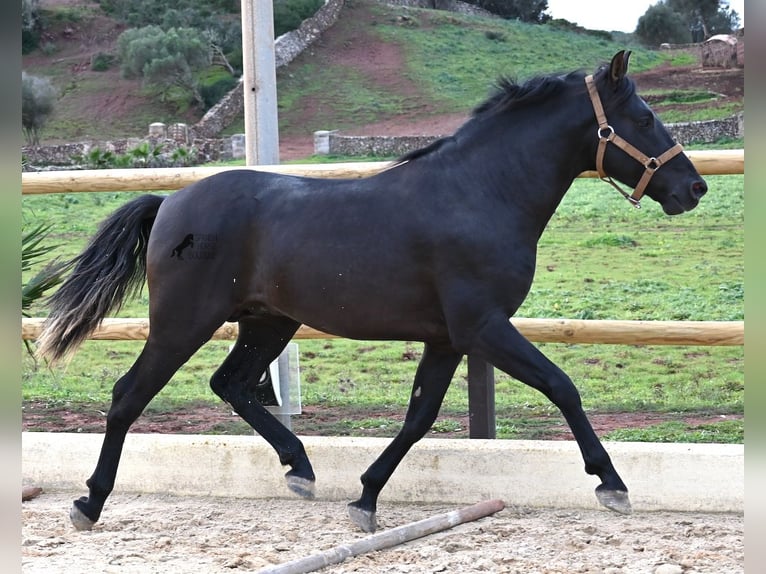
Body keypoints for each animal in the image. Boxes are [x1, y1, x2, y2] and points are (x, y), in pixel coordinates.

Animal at [36, 51, 708, 532]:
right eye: (644, 118)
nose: (693, 188)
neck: (481, 193)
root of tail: (172, 203)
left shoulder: (448, 338)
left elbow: (419, 417)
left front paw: (364, 497)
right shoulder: (483, 327)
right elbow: (561, 385)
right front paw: (611, 484)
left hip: (268, 321)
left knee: (231, 384)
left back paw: (301, 469)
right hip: (184, 322)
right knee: (129, 395)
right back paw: (89, 504)